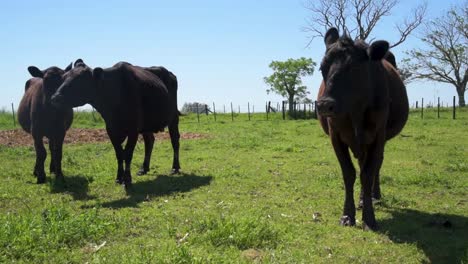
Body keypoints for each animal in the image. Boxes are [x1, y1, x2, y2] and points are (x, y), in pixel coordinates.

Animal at [50, 60, 179, 188]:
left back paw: (175, 168)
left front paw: (127, 179)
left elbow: (128, 154)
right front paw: (119, 178)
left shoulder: (133, 130)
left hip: (173, 117)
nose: (55, 98)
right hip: (146, 125)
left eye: (79, 80)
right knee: (149, 141)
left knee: (175, 140)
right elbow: (119, 154)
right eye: (63, 77)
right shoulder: (111, 130)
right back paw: (144, 168)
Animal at [316, 28, 408, 230]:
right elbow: (349, 173)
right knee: (361, 164)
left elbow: (368, 173)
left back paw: (374, 196)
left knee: (375, 166)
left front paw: (369, 218)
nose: (325, 105)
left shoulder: (378, 135)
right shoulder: (336, 136)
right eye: (322, 67)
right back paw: (360, 200)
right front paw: (347, 215)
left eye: (354, 68)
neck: (355, 110)